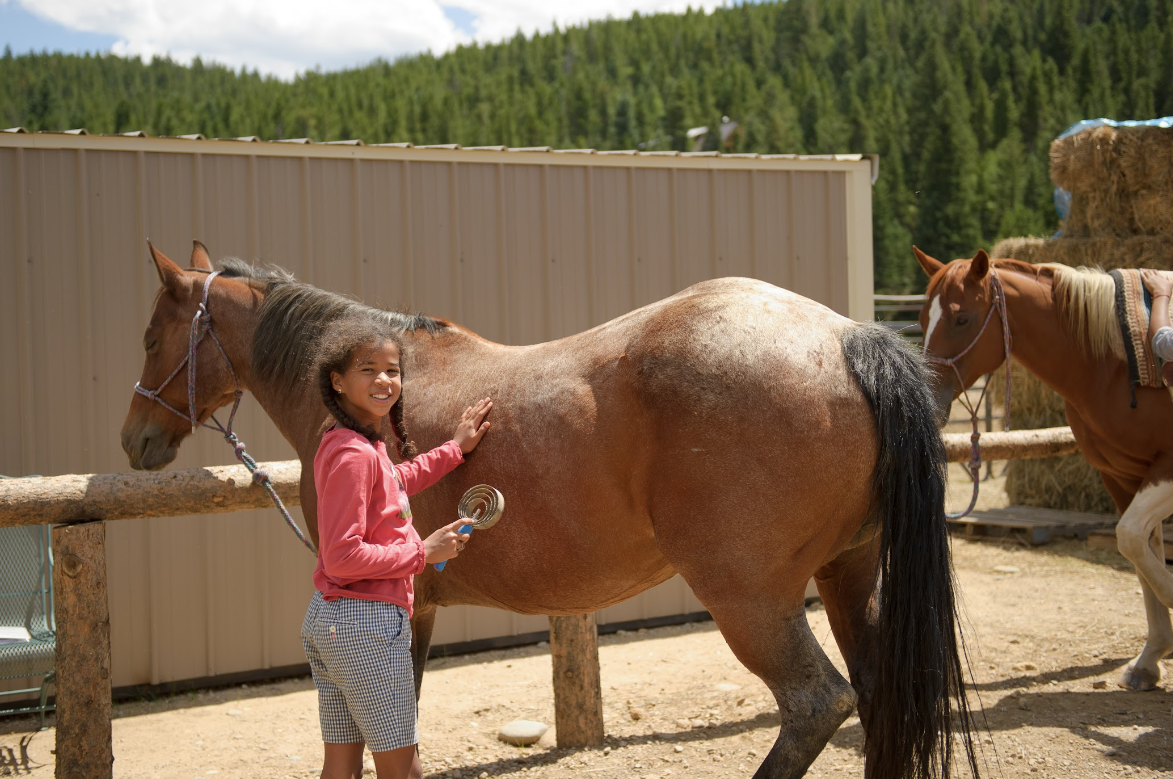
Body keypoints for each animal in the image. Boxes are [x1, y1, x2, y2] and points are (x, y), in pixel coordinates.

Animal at [121, 240, 978, 779]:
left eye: (152, 335)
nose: (135, 439)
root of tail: (846, 337)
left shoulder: (406, 610)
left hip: (748, 596)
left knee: (814, 703)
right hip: (847, 575)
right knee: (877, 696)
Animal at [915, 246, 1173, 692]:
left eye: (962, 318)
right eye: (920, 318)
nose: (927, 396)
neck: (1116, 361)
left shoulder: (1166, 466)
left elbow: (1131, 539)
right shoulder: (1121, 475)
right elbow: (1141, 550)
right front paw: (1150, 659)